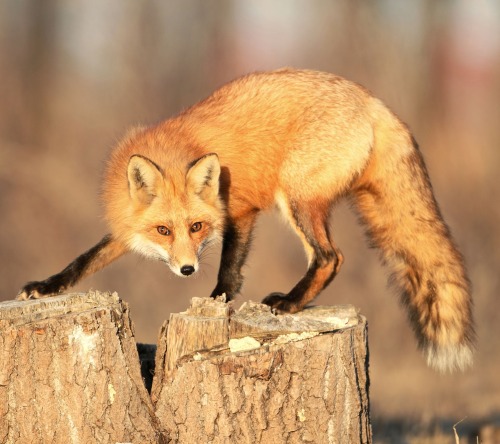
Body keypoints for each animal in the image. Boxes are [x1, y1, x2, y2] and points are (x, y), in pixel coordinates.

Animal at [17, 68, 474, 372]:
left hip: (297, 198)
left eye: (197, 227)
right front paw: (46, 286)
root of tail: (370, 99)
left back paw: (290, 302)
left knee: (331, 257)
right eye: (163, 231)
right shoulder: (126, 231)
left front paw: (218, 299)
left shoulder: (239, 210)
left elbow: (230, 266)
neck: (173, 150)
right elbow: (84, 260)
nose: (187, 269)